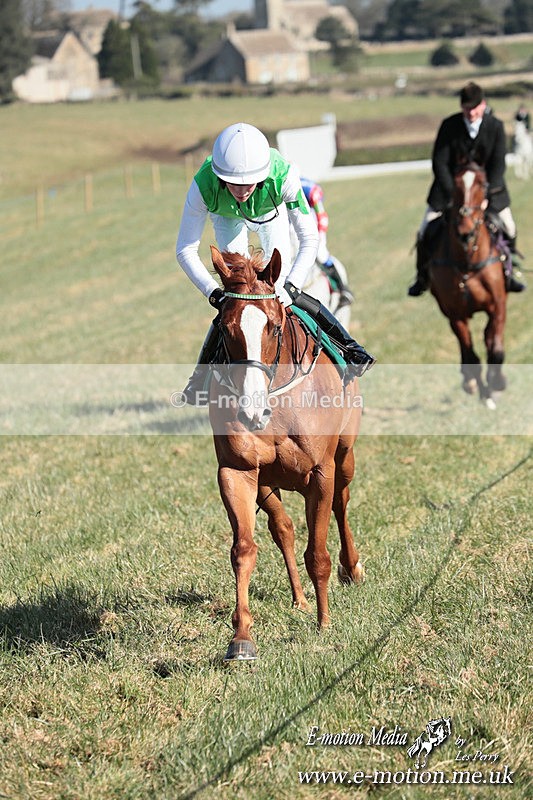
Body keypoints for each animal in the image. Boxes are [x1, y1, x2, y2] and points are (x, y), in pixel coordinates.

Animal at [208, 245, 364, 661]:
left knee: (341, 502)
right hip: (268, 483)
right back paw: (299, 599)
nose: (250, 409)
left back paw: (351, 569)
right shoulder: (236, 472)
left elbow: (318, 554)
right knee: (283, 529)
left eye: (274, 327)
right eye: (226, 330)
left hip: (345, 455)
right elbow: (244, 549)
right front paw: (241, 637)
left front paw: (325, 624)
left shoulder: (321, 472)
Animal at [426, 161, 507, 409]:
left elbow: (496, 351)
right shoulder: (456, 314)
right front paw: (483, 393)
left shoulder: (498, 305)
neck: (467, 262)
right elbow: (471, 356)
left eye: (483, 184)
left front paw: (496, 384)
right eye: (455, 186)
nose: (465, 232)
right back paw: (470, 382)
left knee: (489, 338)